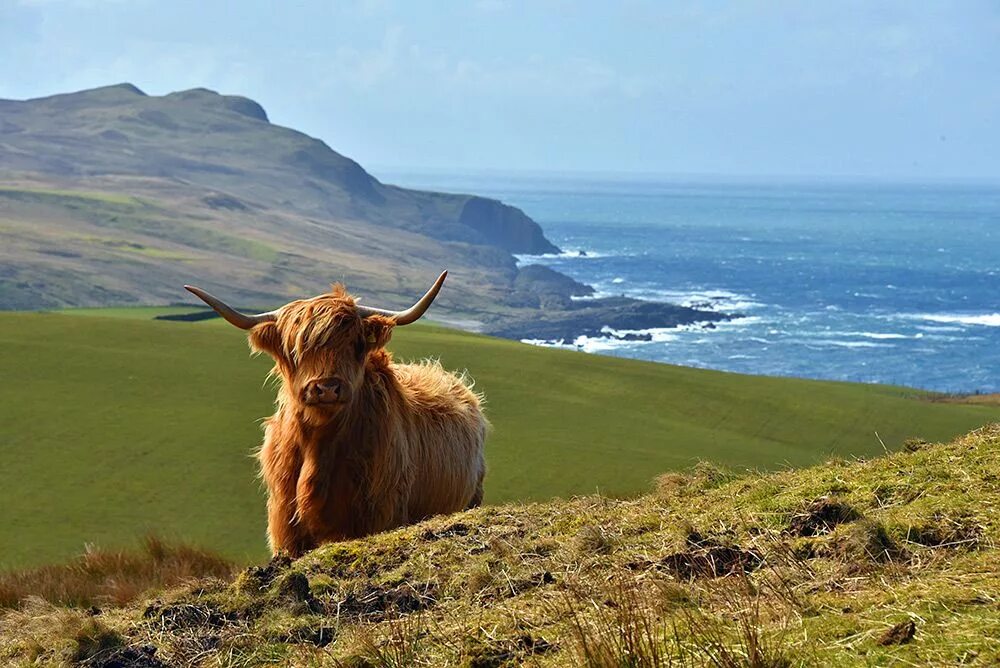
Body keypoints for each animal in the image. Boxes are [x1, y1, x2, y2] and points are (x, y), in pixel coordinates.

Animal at [187, 272, 488, 560]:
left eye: (355, 344)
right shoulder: (285, 531)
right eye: (295, 349)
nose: (327, 388)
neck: (318, 449)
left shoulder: (379, 516)